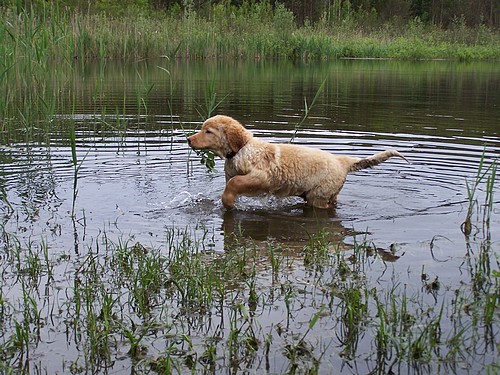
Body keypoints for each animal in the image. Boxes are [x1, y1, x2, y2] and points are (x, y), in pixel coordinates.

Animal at [189, 115, 408, 209]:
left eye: (208, 131)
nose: (189, 139)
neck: (241, 150)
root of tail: (341, 161)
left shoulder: (263, 178)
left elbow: (235, 183)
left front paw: (227, 201)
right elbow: (231, 183)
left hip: (318, 195)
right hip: (329, 193)